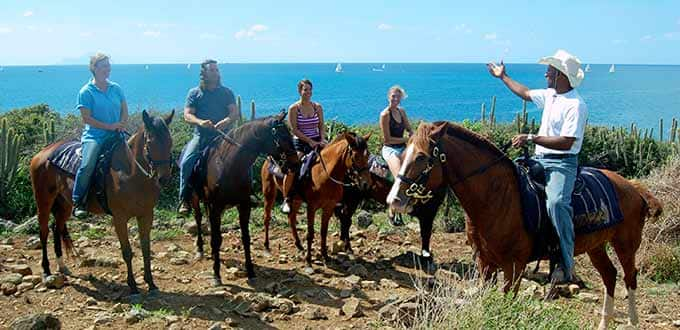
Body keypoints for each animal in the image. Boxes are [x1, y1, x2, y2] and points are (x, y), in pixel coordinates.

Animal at [31, 110, 175, 296]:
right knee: (44, 232)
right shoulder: (119, 218)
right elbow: (127, 252)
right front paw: (133, 286)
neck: (130, 173)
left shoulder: (146, 215)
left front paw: (151, 283)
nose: (164, 178)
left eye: (170, 141)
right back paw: (47, 271)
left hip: (65, 204)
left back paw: (62, 267)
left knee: (57, 228)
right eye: (150, 142)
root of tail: (43, 153)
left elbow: (146, 249)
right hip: (44, 202)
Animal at [190, 112, 298, 284]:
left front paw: (251, 272)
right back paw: (200, 249)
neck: (229, 166)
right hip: (196, 198)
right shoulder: (216, 206)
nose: (296, 163)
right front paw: (216, 274)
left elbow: (245, 238)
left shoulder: (244, 205)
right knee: (199, 219)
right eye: (283, 137)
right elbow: (216, 239)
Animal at [262, 133, 374, 264]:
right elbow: (310, 233)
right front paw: (309, 260)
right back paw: (266, 246)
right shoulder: (312, 207)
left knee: (291, 218)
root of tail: (269, 157)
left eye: (368, 154)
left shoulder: (329, 207)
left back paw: (299, 245)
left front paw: (325, 255)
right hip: (269, 192)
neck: (324, 173)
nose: (366, 184)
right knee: (267, 218)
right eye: (355, 156)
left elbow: (324, 231)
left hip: (296, 200)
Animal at [390, 122, 660, 328]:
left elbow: (506, 301)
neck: (497, 197)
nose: (395, 200)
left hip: (625, 245)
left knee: (630, 276)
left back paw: (633, 321)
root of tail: (633, 187)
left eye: (421, 156)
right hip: (596, 246)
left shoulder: (514, 267)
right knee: (610, 275)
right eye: (402, 155)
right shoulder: (485, 264)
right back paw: (605, 322)